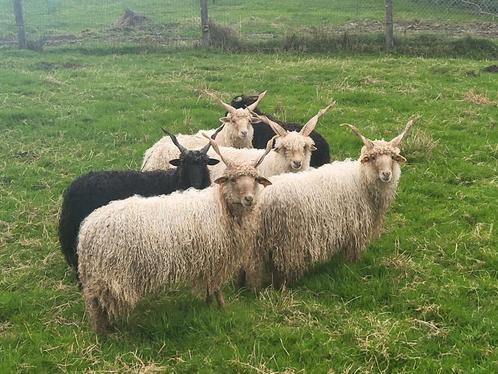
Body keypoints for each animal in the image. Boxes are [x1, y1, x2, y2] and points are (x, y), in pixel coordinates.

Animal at [76, 134, 274, 334]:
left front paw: (209, 303)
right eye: (232, 180)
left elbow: (208, 285)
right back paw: (103, 333)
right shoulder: (214, 257)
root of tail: (87, 230)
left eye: (255, 179)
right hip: (108, 276)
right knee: (96, 304)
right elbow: (216, 286)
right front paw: (221, 306)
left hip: (99, 276)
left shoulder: (206, 259)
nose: (248, 199)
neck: (219, 206)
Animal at [243, 118, 414, 288]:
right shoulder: (355, 229)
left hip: (258, 241)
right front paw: (350, 266)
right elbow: (352, 253)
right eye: (372, 158)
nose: (386, 174)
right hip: (287, 241)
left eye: (393, 158)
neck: (361, 180)